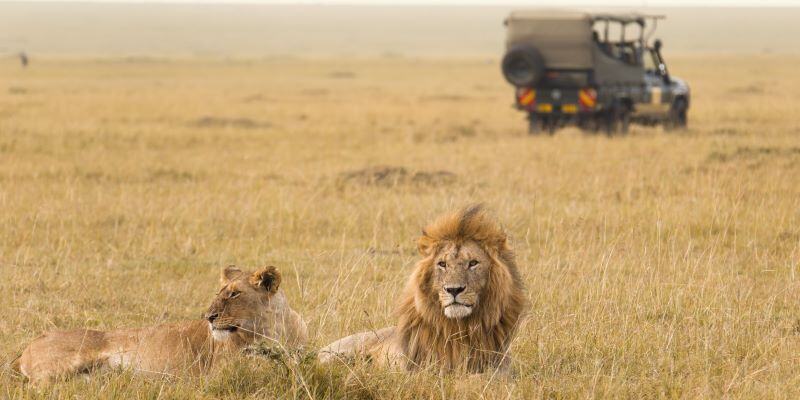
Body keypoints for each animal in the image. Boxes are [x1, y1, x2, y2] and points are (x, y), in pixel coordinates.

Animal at [13, 264, 306, 382]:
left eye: (234, 294)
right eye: (220, 292)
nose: (209, 317)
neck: (274, 329)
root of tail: (27, 348)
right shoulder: (219, 373)